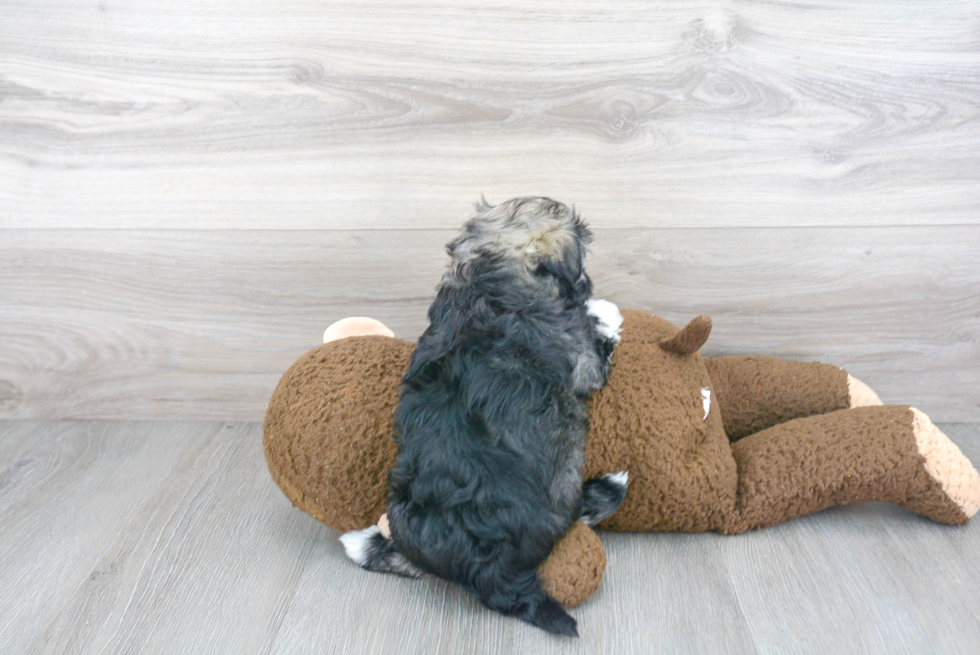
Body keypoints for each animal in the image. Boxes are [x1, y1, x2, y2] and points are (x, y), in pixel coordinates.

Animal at [340, 197, 624, 640]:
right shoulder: (582, 362)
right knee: (580, 513)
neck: (487, 280)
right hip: (563, 485)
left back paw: (367, 541)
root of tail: (487, 573)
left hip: (405, 515)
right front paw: (603, 312)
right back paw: (608, 487)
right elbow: (595, 354)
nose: (588, 284)